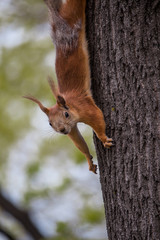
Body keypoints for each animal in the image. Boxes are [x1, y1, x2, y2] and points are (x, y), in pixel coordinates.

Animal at [24, 0, 113, 173]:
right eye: (50, 123)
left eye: (65, 114)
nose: (62, 131)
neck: (72, 107)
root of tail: (60, 18)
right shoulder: (72, 129)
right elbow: (79, 143)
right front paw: (89, 161)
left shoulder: (86, 107)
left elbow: (98, 119)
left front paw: (104, 139)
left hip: (74, 12)